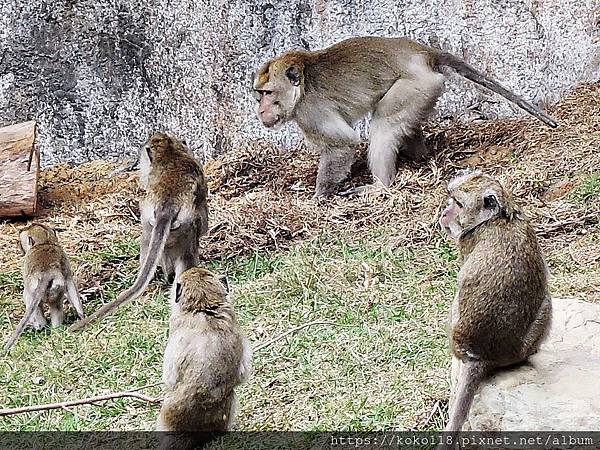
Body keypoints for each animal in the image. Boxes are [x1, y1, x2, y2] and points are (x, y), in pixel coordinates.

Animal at [69, 132, 209, 332]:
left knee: (147, 240)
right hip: (185, 227)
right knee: (187, 253)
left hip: (154, 224)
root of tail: (167, 206)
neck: (170, 154)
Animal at [253, 35, 556, 197]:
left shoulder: (310, 112)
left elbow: (343, 144)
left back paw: (382, 186)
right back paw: (420, 155)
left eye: (268, 93)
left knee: (385, 123)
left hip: (417, 85)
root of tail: (423, 52)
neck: (301, 87)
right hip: (424, 91)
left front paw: (320, 196)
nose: (260, 109)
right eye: (259, 94)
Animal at [436, 171, 552, 448]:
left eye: (457, 204)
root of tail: (479, 354)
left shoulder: (466, 240)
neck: (499, 218)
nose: (443, 212)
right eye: (451, 199)